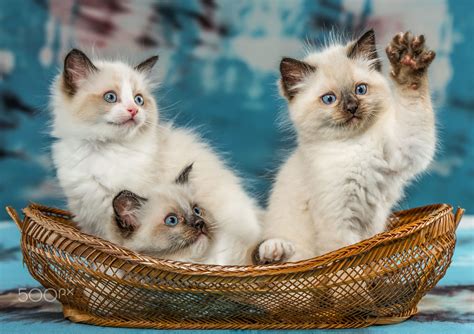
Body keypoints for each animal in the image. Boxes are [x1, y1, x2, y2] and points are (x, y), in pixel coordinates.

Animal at [256, 30, 436, 264]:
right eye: (329, 99)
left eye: (360, 89)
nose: (352, 107)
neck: (355, 144)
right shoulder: (337, 221)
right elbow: (347, 258)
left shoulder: (406, 146)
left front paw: (409, 63)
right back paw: (274, 251)